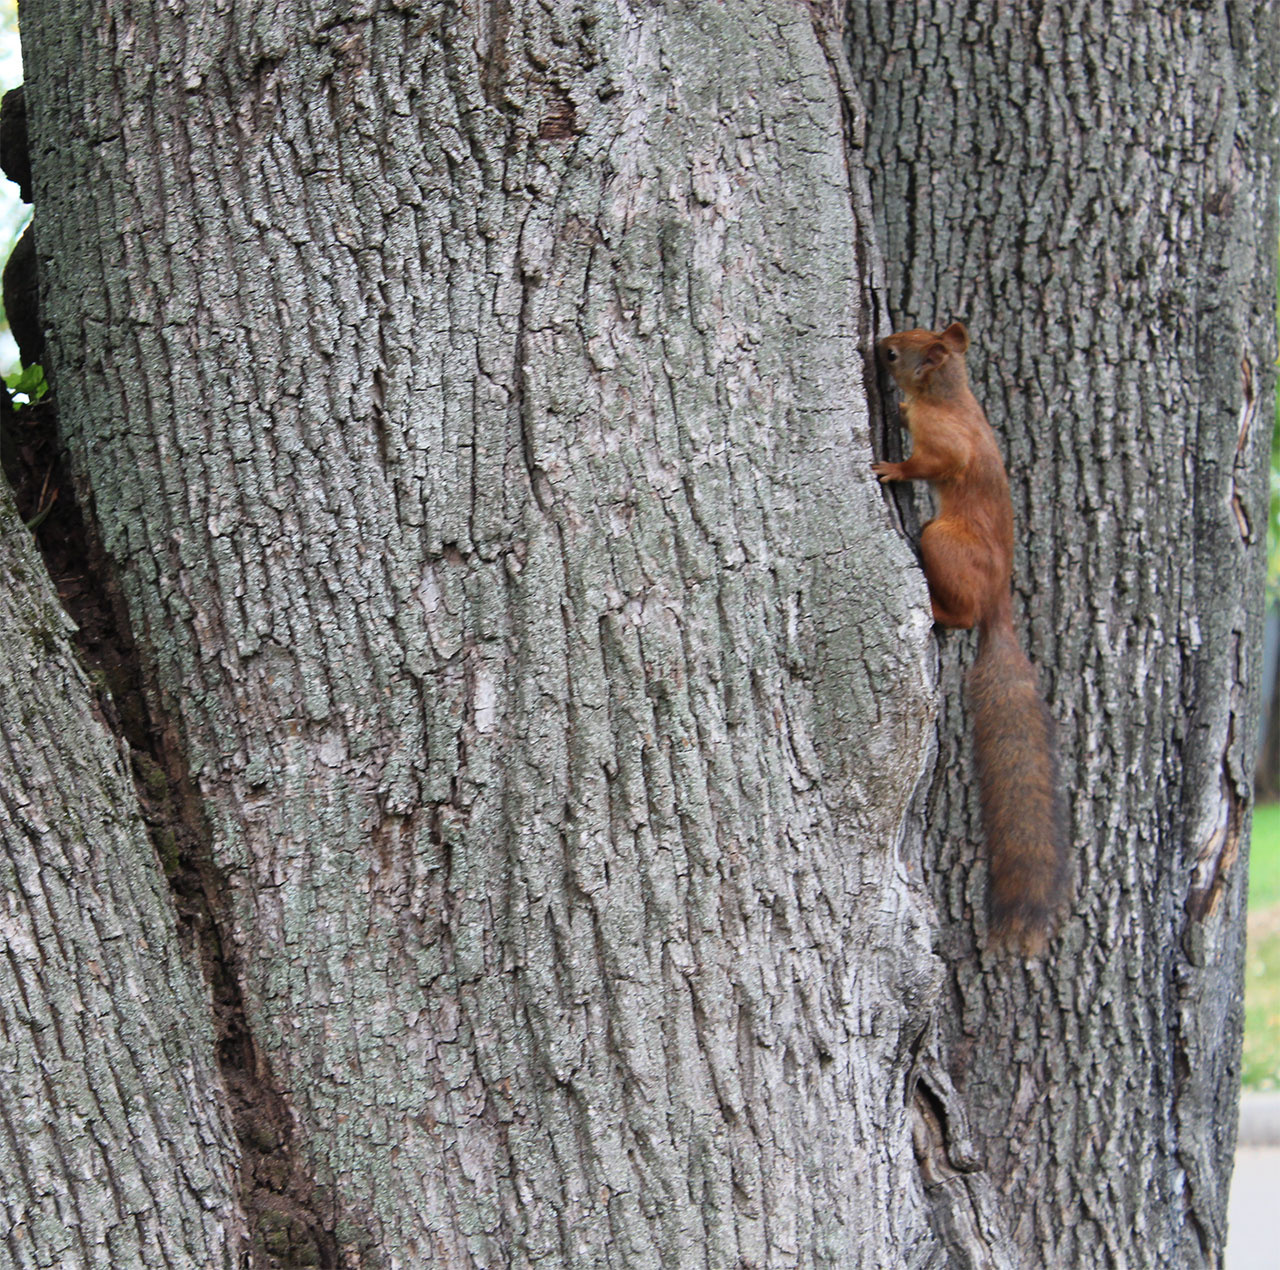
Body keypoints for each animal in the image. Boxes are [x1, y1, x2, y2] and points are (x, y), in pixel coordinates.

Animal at [872, 321, 1068, 956]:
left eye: (894, 353)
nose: (874, 344)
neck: (952, 395)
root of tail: (999, 603)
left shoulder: (944, 442)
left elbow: (934, 461)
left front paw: (892, 468)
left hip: (944, 542)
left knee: (958, 617)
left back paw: (938, 610)